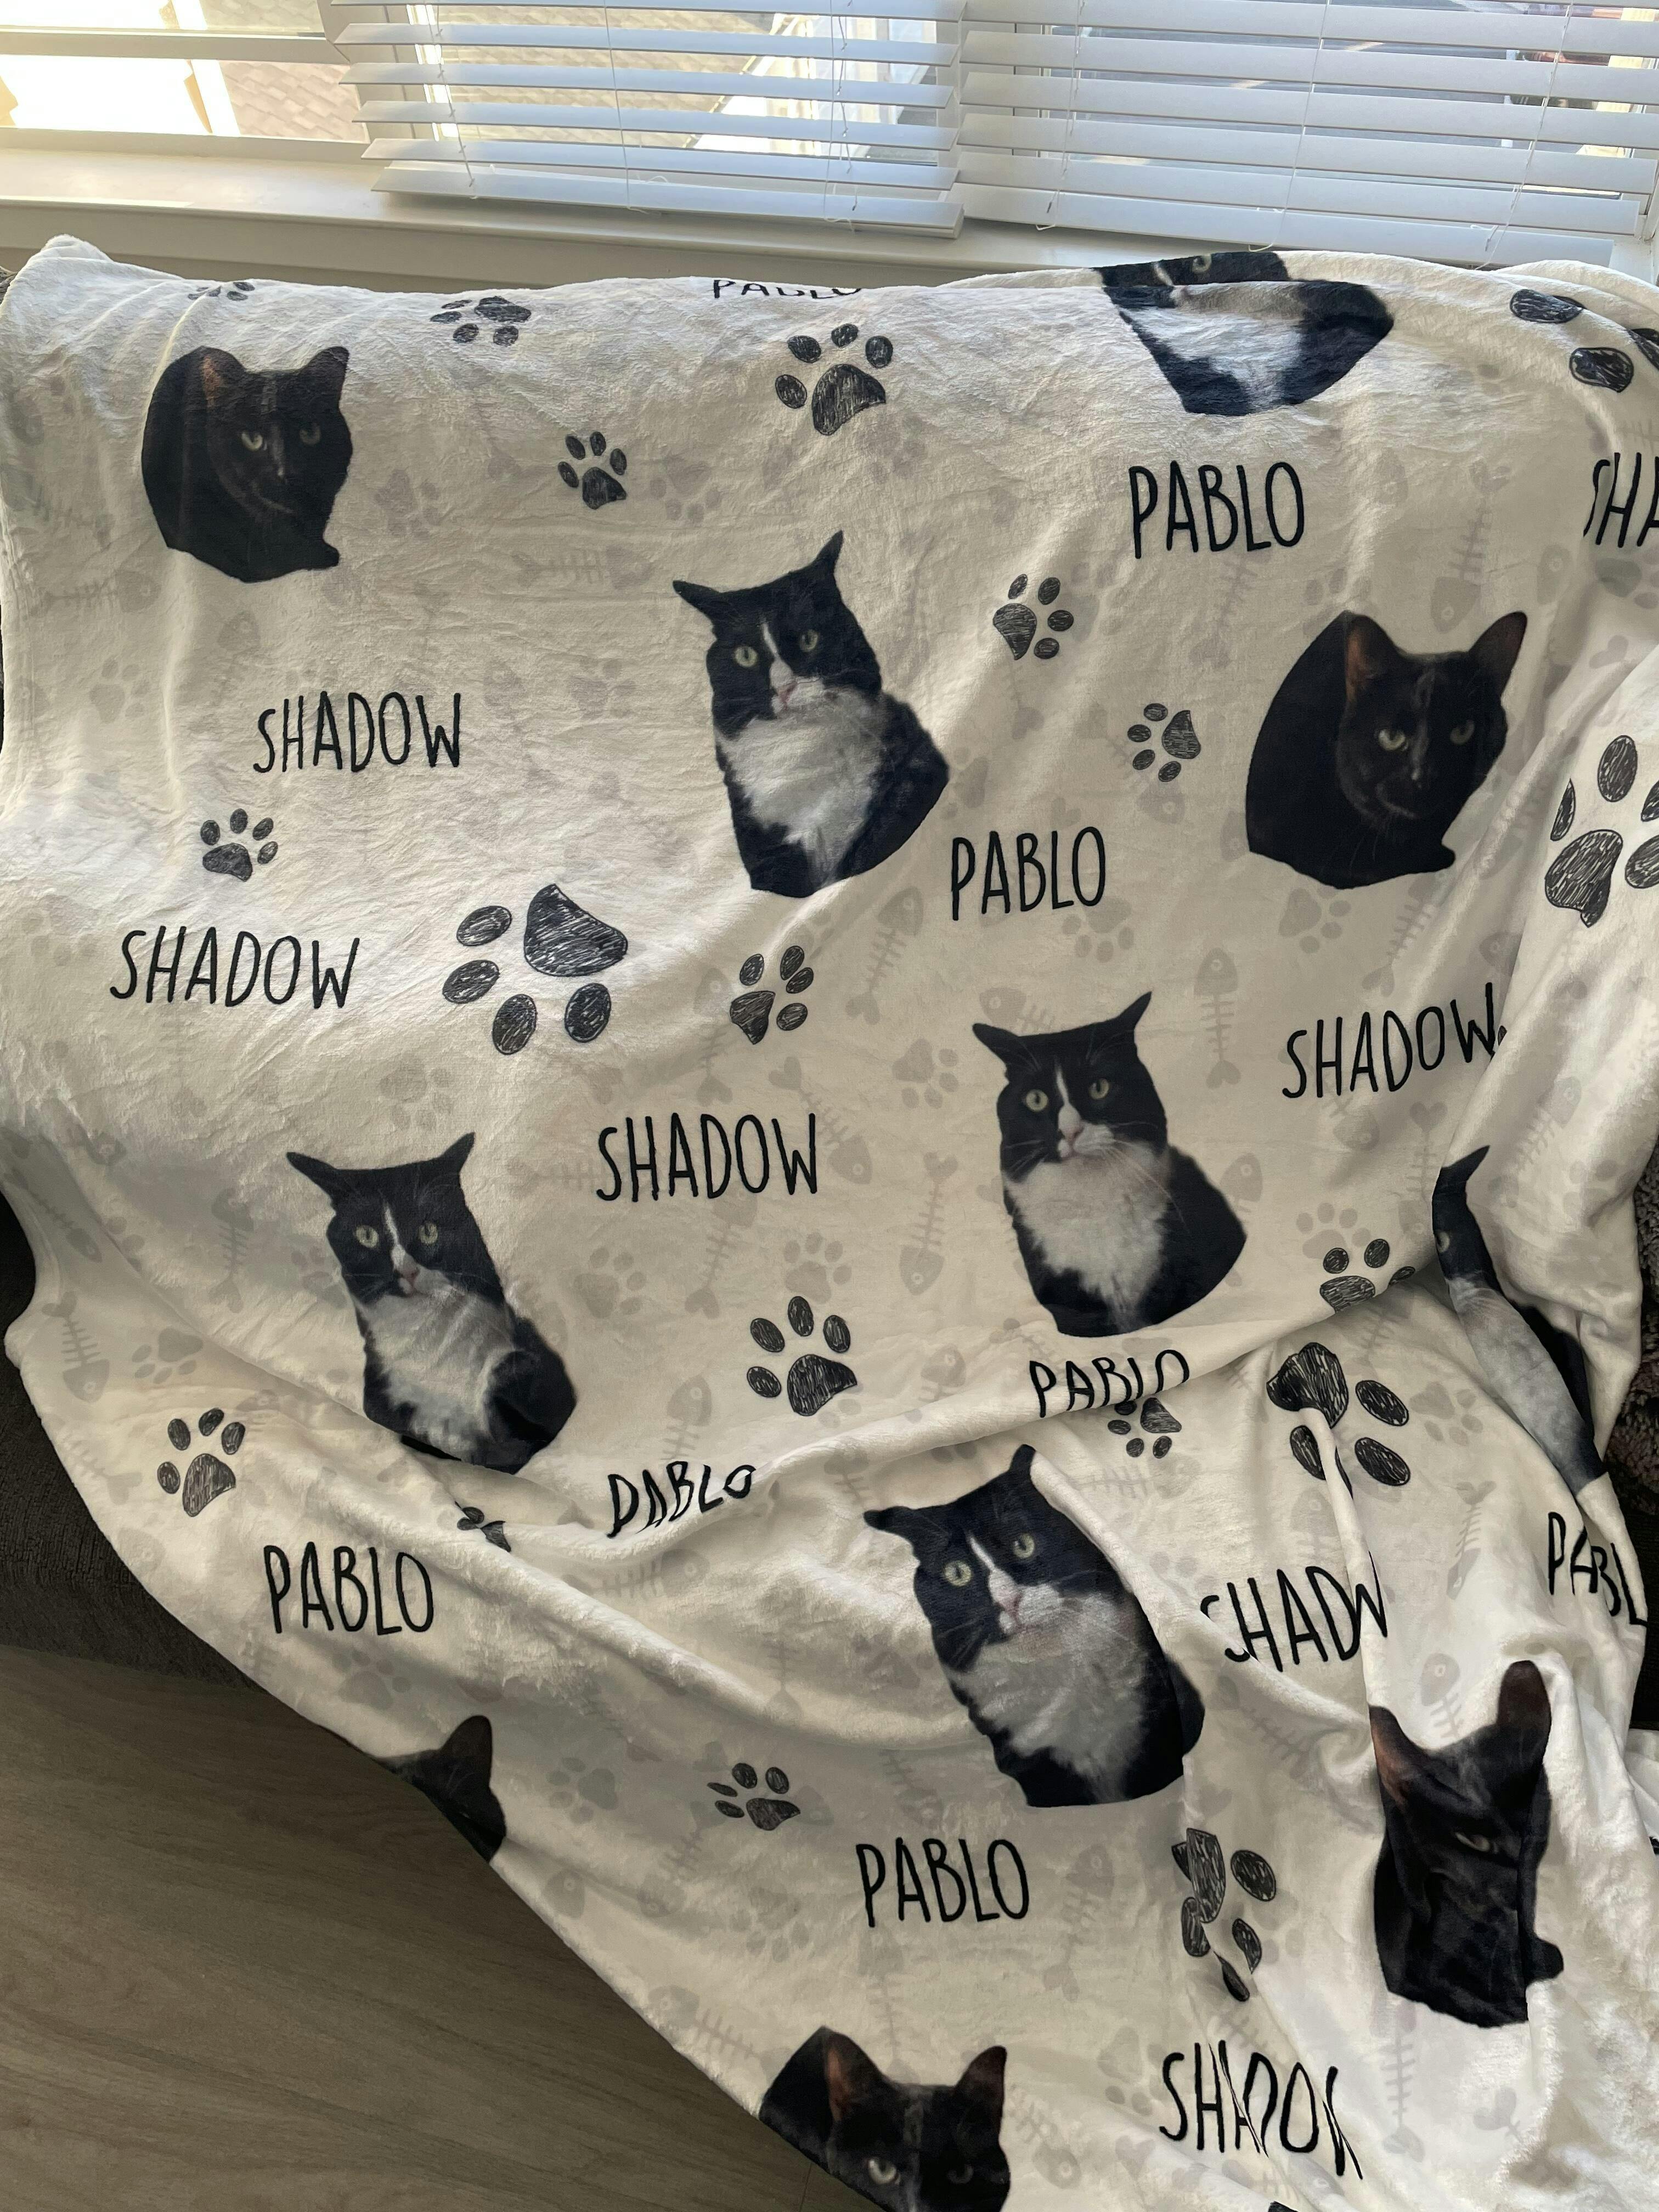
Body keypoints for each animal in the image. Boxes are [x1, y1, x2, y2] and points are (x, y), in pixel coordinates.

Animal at [287, 1132, 575, 1472]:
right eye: (366, 1235)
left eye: (429, 1231)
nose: (406, 1270)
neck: (431, 1344)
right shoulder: (380, 1393)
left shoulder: (546, 1382)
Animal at [672, 532, 949, 898]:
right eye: (745, 656)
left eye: (809, 639)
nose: (784, 688)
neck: (804, 753)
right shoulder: (768, 851)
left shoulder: (913, 776)